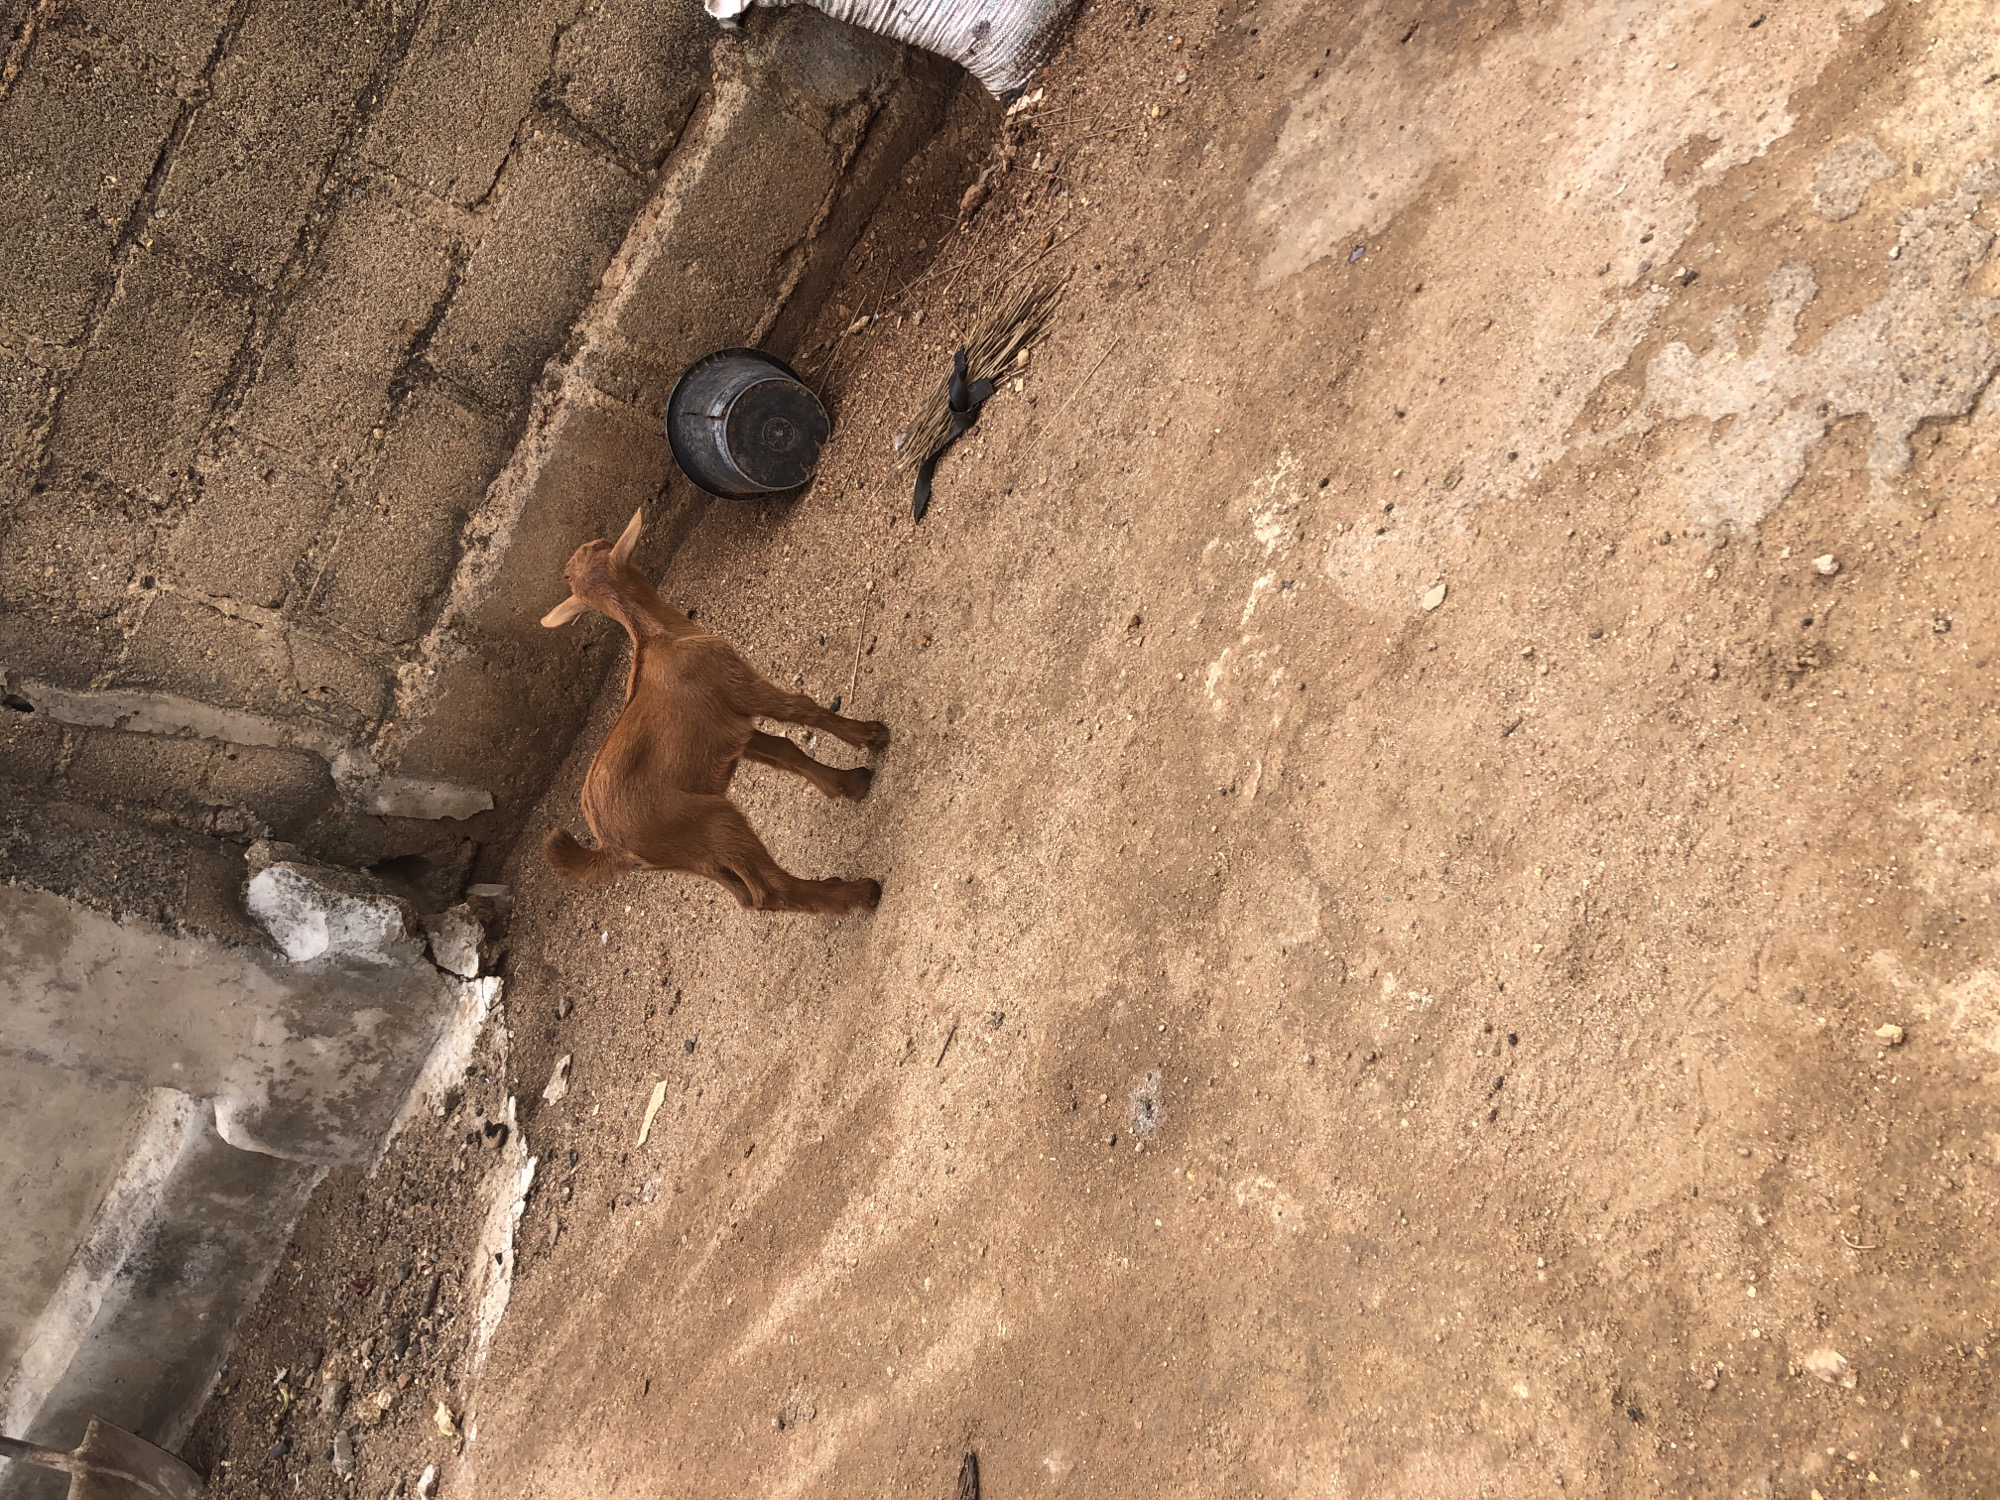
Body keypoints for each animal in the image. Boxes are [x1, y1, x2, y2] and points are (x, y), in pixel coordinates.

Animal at [538, 509, 888, 914]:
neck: (659, 636)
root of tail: (610, 847)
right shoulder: (741, 687)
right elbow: (803, 710)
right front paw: (870, 735)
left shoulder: (729, 726)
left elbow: (784, 750)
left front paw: (850, 783)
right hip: (714, 822)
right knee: (771, 890)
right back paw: (857, 893)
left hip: (692, 854)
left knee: (748, 897)